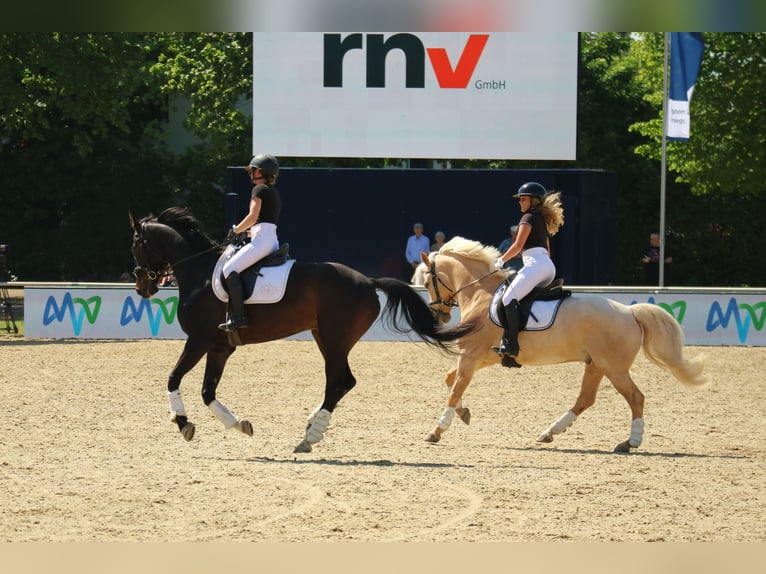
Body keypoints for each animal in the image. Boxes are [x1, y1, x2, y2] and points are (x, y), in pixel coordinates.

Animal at [129, 207, 475, 453]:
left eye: (136, 244)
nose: (143, 287)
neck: (198, 271)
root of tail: (367, 281)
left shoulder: (198, 340)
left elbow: (173, 378)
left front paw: (182, 423)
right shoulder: (220, 347)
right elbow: (207, 391)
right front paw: (239, 425)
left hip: (334, 340)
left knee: (339, 382)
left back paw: (310, 436)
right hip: (325, 338)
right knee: (340, 382)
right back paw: (310, 427)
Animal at [419, 236, 709, 453]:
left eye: (428, 281)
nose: (439, 315)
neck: (480, 294)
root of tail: (629, 311)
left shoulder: (470, 356)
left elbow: (455, 388)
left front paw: (437, 430)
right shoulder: (481, 358)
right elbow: (450, 380)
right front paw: (463, 413)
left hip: (614, 368)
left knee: (635, 397)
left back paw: (630, 441)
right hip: (596, 365)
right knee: (586, 398)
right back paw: (549, 432)